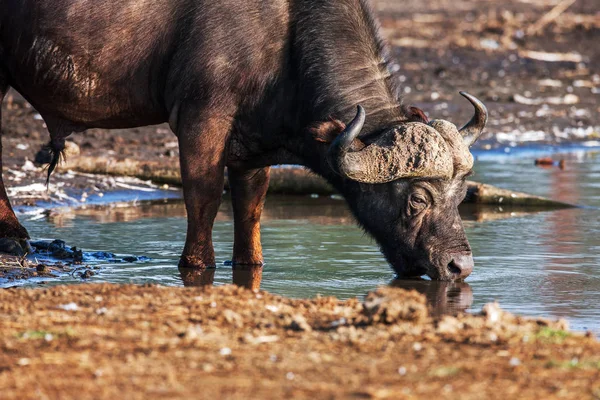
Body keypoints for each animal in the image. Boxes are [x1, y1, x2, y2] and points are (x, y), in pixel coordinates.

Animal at [0, 0, 486, 282]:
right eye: (417, 198)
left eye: (461, 196)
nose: (459, 267)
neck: (286, 30)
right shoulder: (202, 119)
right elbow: (203, 197)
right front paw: (196, 266)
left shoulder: (253, 147)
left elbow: (250, 210)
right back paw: (13, 237)